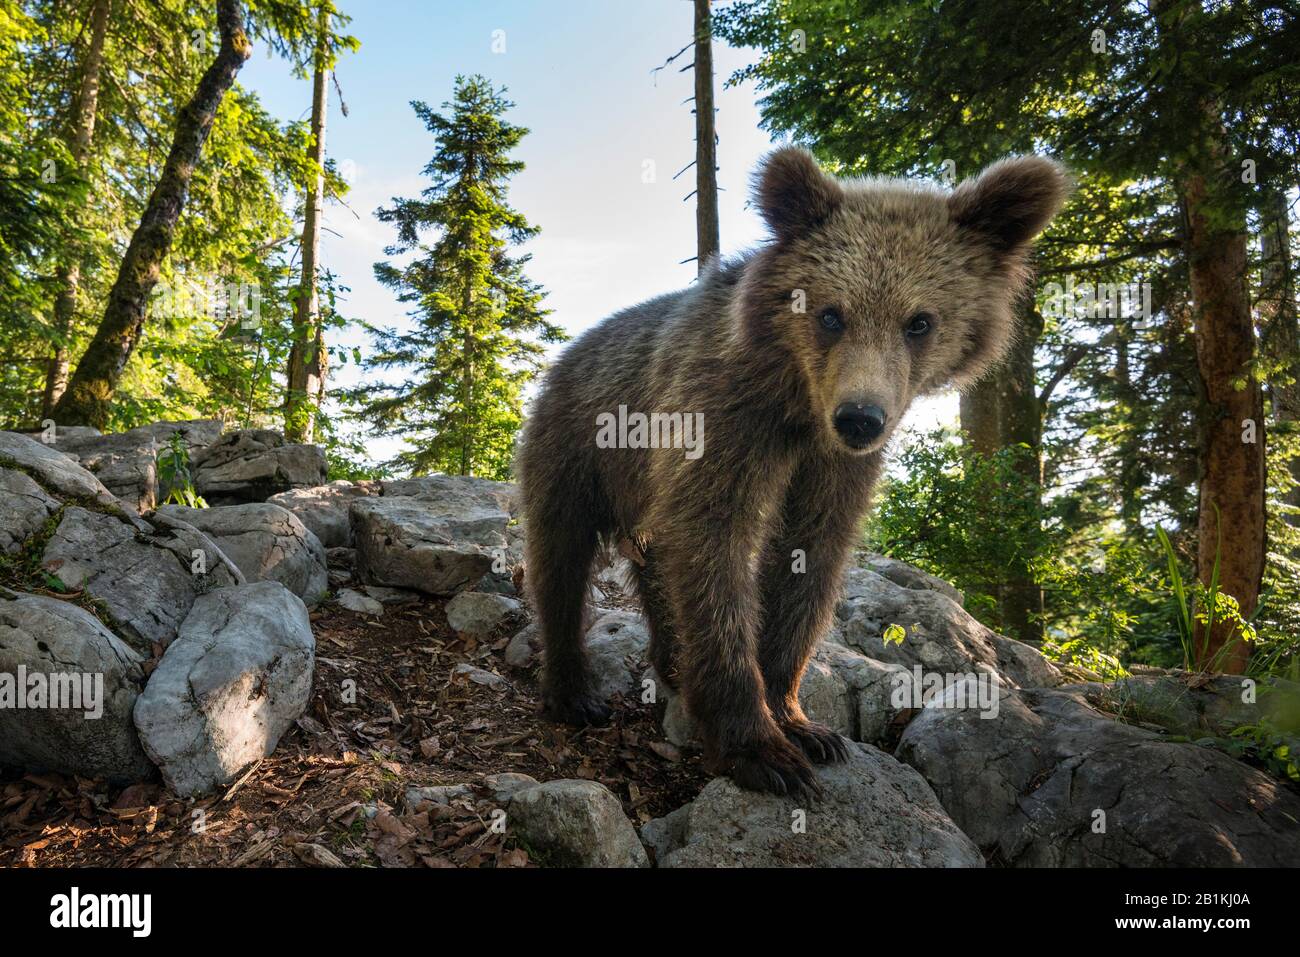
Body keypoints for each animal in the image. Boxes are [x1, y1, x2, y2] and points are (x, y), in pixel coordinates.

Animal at [514, 147, 1066, 790]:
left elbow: (810, 555)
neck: (797, 402)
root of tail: (569, 350)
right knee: (561, 557)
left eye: (919, 321)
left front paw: (801, 722)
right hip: (579, 447)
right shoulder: (722, 417)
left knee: (653, 560)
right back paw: (573, 692)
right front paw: (758, 749)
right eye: (830, 315)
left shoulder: (833, 466)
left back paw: (671, 663)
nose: (860, 418)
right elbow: (715, 544)